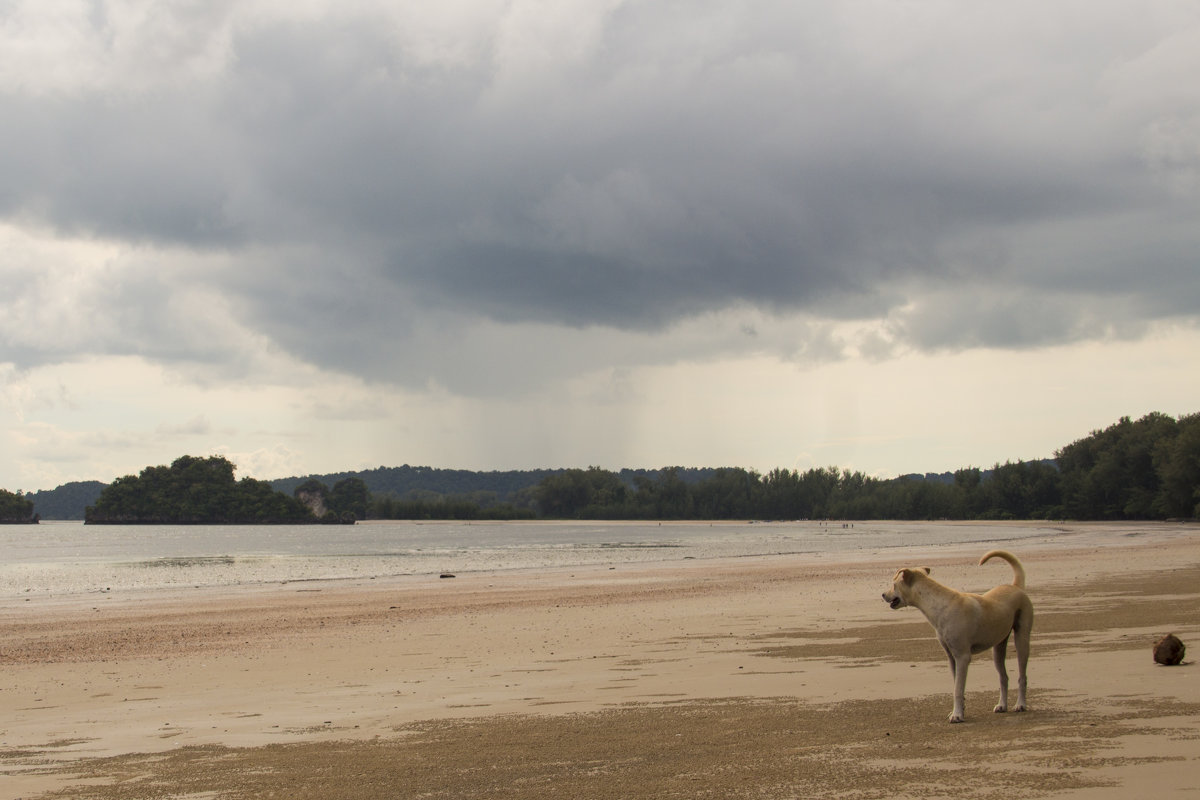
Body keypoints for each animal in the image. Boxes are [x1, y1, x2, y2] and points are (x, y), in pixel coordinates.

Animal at [883, 551, 1032, 724]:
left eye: (894, 585)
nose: (883, 594)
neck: (940, 605)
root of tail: (1016, 586)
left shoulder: (962, 656)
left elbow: (958, 689)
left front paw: (957, 715)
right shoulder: (951, 657)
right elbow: (957, 685)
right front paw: (960, 710)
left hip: (1022, 639)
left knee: (1022, 676)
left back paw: (1020, 704)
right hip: (998, 647)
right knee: (1003, 677)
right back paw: (1002, 705)